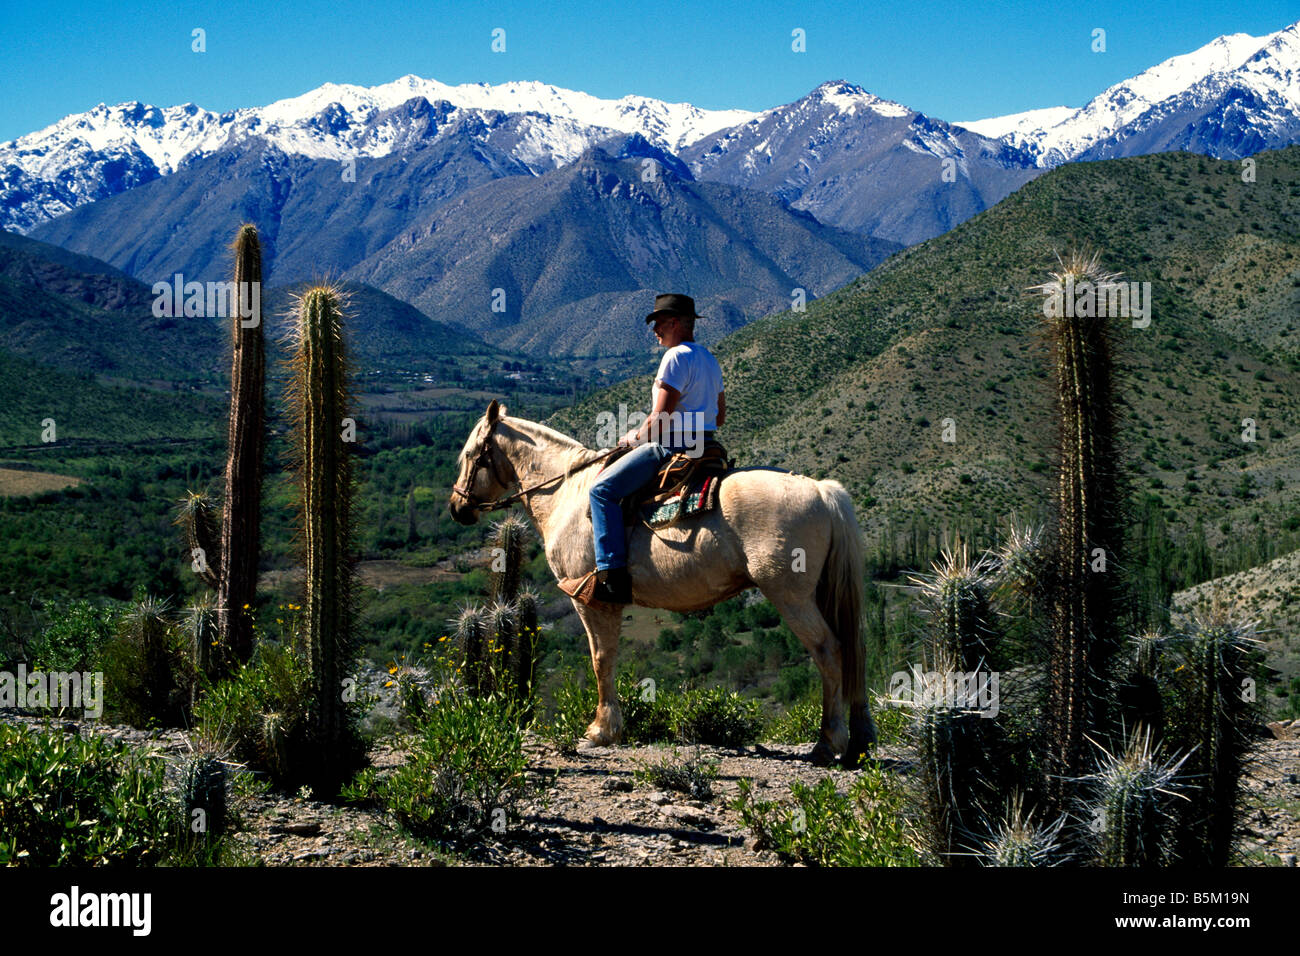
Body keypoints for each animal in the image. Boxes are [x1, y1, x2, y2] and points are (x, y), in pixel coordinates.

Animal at [452, 400, 878, 764]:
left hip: (791, 596)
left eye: (472, 455)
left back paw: (827, 743)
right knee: (854, 649)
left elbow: (601, 659)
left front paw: (602, 730)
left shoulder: (590, 600)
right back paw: (860, 741)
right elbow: (606, 659)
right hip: (819, 593)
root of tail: (821, 490)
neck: (567, 494)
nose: (457, 508)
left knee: (828, 650)